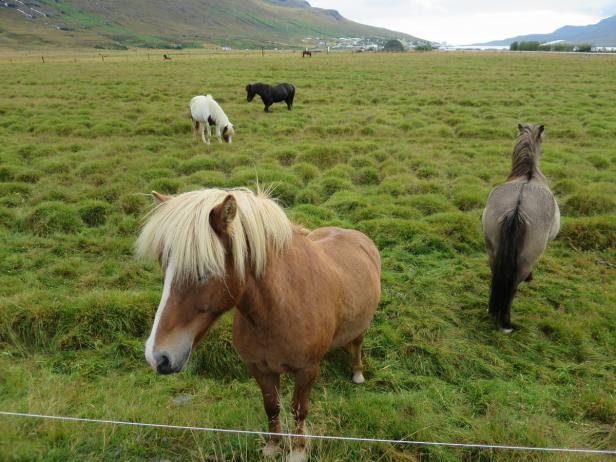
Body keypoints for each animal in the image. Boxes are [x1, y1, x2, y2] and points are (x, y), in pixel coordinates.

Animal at [135, 187, 380, 458]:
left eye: (204, 272)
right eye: (164, 267)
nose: (157, 357)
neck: (279, 310)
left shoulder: (306, 371)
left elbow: (298, 409)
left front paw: (297, 451)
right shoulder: (259, 368)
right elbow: (272, 405)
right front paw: (273, 445)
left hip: (362, 326)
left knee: (357, 344)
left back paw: (357, 373)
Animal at [484, 122, 560, 332]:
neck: (527, 175)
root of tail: (517, 208)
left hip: (493, 252)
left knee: (496, 277)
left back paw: (492, 311)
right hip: (525, 261)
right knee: (512, 288)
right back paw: (506, 323)